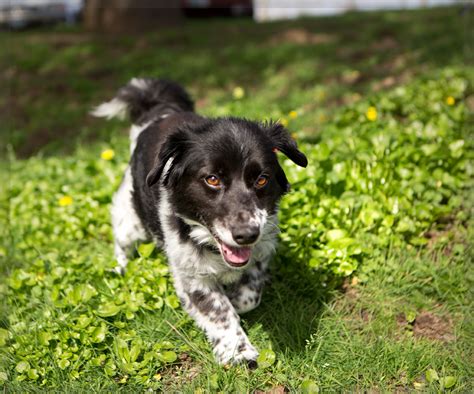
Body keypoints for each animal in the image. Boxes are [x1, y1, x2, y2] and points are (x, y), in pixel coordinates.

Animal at [92, 78, 308, 368]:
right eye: (212, 179)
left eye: (262, 179)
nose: (247, 234)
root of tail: (159, 110)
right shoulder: (191, 276)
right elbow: (219, 310)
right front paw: (237, 352)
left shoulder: (263, 247)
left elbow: (249, 294)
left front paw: (237, 298)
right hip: (131, 221)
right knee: (121, 244)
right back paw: (120, 269)